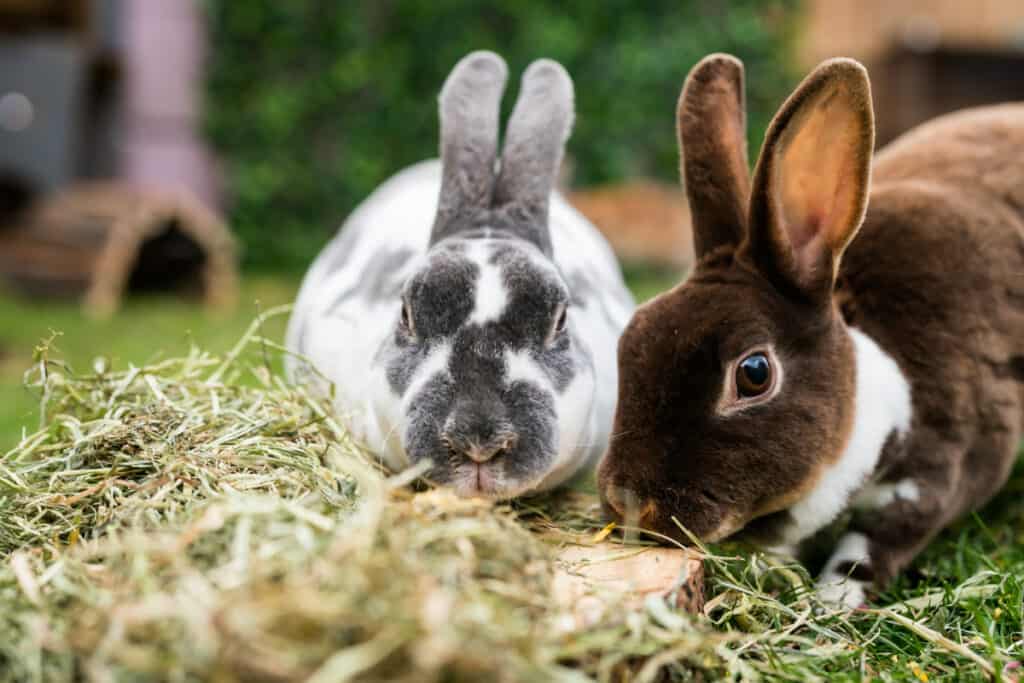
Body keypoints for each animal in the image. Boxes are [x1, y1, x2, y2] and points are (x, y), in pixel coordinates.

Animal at [597, 53, 1024, 606]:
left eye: (754, 374)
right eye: (630, 340)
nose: (630, 506)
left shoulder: (932, 479)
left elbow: (872, 546)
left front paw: (831, 601)